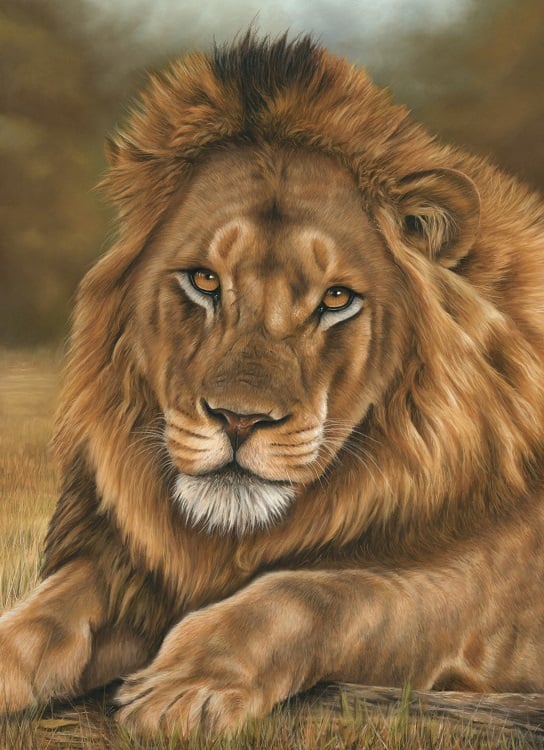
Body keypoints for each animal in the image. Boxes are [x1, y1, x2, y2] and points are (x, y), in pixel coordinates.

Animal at [1, 31, 544, 738]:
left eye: (337, 298)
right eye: (204, 280)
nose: (239, 419)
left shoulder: (492, 587)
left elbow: (324, 592)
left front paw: (187, 684)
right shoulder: (129, 568)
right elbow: (51, 611)